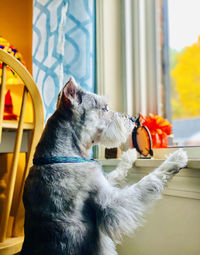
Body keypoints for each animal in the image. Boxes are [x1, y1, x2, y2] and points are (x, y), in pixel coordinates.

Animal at [21, 77, 188, 255]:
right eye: (105, 108)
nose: (133, 119)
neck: (63, 154)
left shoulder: (103, 180)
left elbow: (117, 173)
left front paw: (129, 156)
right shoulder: (111, 204)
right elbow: (145, 184)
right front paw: (175, 159)